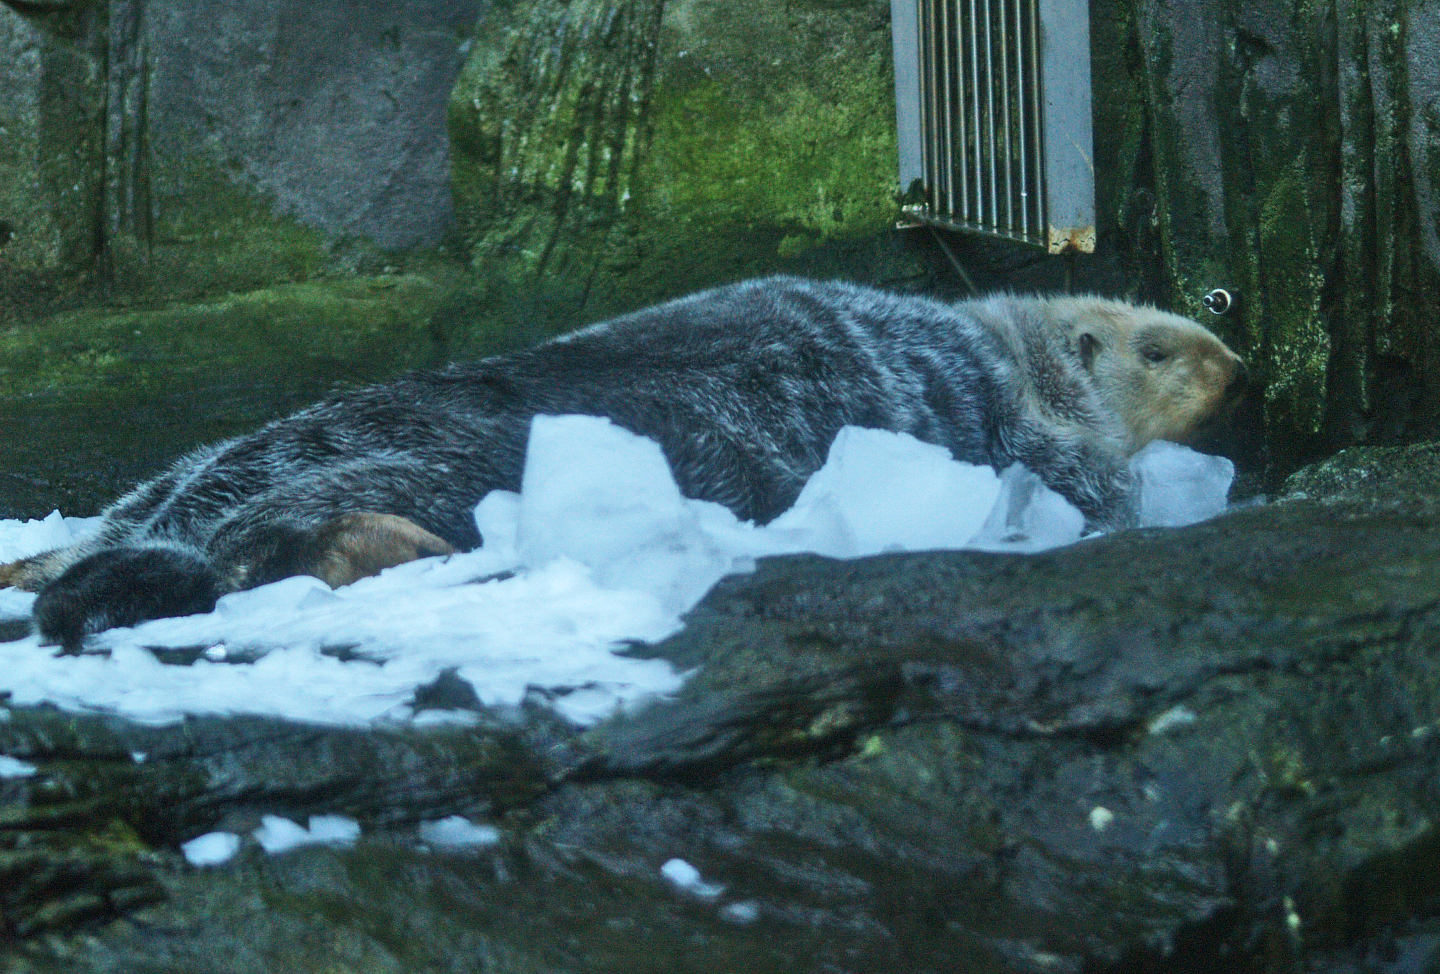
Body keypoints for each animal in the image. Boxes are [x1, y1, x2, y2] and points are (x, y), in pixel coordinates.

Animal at [0, 276, 1246, 649]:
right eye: (1157, 344)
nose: (1235, 360)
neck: (1006, 349)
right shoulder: (1044, 448)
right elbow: (1092, 486)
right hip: (411, 473)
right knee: (253, 547)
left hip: (195, 466)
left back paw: (35, 562)